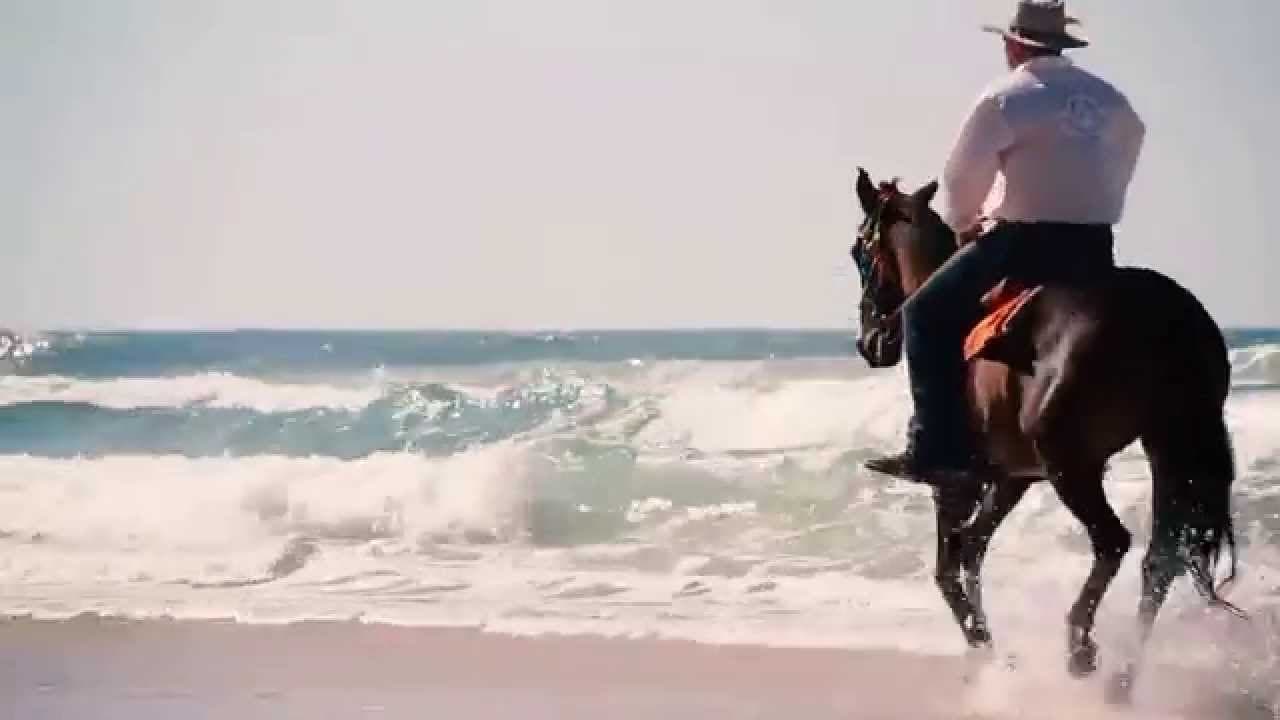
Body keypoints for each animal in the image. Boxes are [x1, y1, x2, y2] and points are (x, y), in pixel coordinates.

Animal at [849, 166, 1239, 702]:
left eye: (857, 251)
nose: (871, 342)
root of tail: (1167, 313)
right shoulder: (1011, 478)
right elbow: (971, 551)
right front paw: (992, 654)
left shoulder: (955, 484)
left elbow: (948, 567)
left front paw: (987, 653)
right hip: (1167, 448)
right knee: (1160, 560)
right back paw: (1122, 681)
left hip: (1070, 462)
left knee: (1113, 541)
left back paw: (1080, 647)